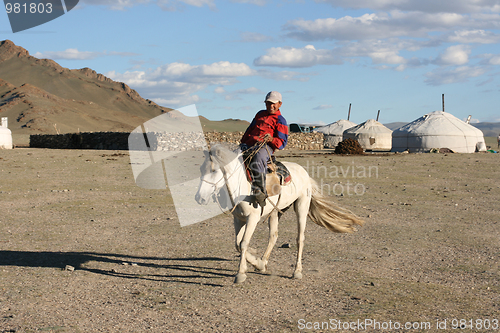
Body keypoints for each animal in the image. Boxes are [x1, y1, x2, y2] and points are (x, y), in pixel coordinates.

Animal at [193, 145, 362, 282]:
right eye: (201, 169)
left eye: (214, 170)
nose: (199, 198)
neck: (241, 187)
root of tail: (304, 173)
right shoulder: (238, 219)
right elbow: (237, 243)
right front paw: (254, 261)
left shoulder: (252, 218)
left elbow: (243, 243)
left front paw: (240, 273)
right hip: (275, 212)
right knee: (273, 235)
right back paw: (262, 263)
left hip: (302, 206)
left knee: (300, 238)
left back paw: (297, 271)